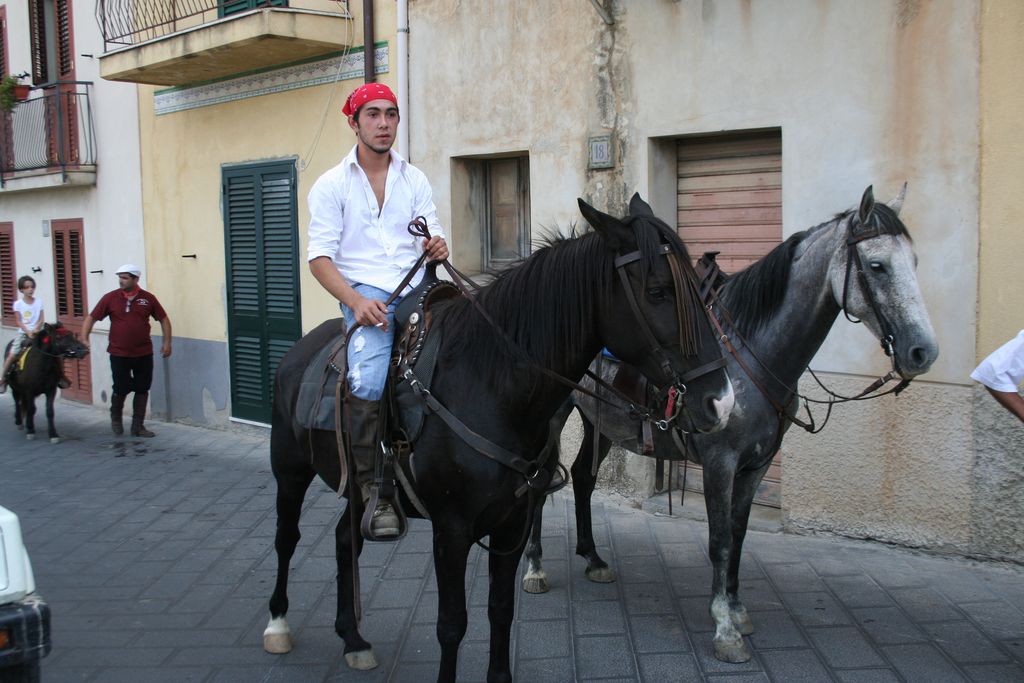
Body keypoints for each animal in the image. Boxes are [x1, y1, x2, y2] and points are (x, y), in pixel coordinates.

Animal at [264, 194, 736, 683]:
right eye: (658, 291)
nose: (722, 402)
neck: (490, 384)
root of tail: (299, 350)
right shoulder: (451, 531)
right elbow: (452, 624)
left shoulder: (512, 522)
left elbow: (501, 610)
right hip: (289, 470)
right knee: (287, 537)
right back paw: (278, 625)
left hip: (358, 493)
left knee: (345, 539)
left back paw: (354, 639)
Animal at [521, 185, 939, 664]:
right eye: (876, 266)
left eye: (914, 261)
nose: (922, 351)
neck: (750, 348)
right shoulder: (720, 462)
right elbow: (720, 540)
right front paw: (724, 627)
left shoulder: (757, 464)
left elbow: (738, 534)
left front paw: (737, 609)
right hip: (553, 416)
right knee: (540, 483)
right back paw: (535, 567)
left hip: (600, 422)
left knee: (584, 479)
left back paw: (593, 559)